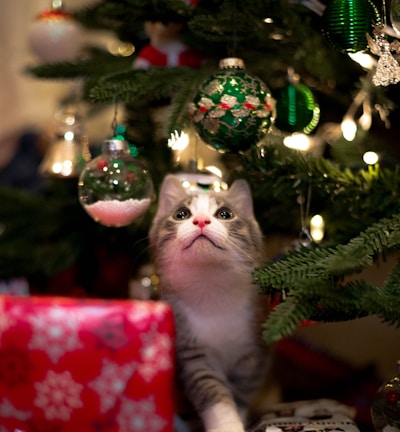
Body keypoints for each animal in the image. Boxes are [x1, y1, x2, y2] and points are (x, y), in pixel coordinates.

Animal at [149, 175, 268, 432]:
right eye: (181, 214)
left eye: (225, 214)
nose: (201, 220)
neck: (211, 288)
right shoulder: (190, 350)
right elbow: (209, 388)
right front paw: (227, 424)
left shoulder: (254, 351)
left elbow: (243, 389)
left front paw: (239, 418)